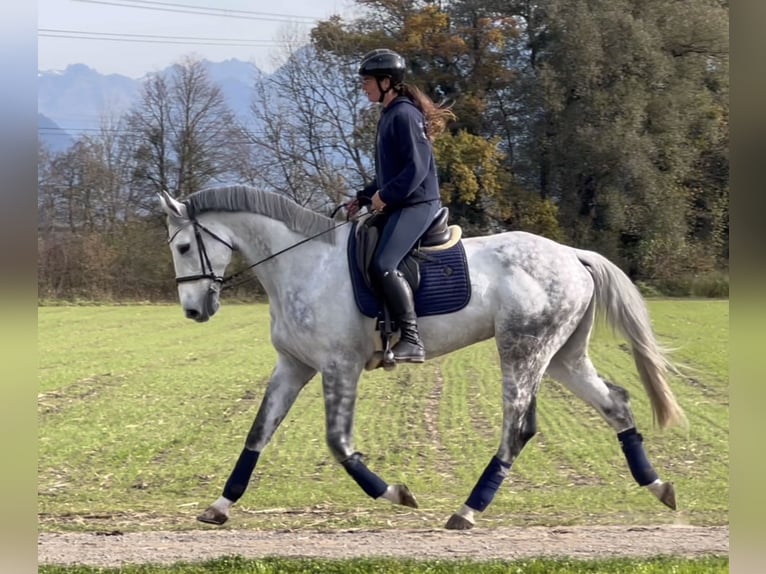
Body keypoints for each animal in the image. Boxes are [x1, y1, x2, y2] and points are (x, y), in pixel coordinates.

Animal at [159, 184, 688, 532]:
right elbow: (257, 435)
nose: (193, 311)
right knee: (615, 404)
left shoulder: (339, 367)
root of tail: (572, 255)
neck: (303, 264)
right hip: (561, 357)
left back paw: (467, 511)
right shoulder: (293, 366)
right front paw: (219, 506)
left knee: (516, 429)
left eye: (184, 246)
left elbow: (339, 444)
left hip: (522, 350)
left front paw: (396, 493)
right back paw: (659, 488)